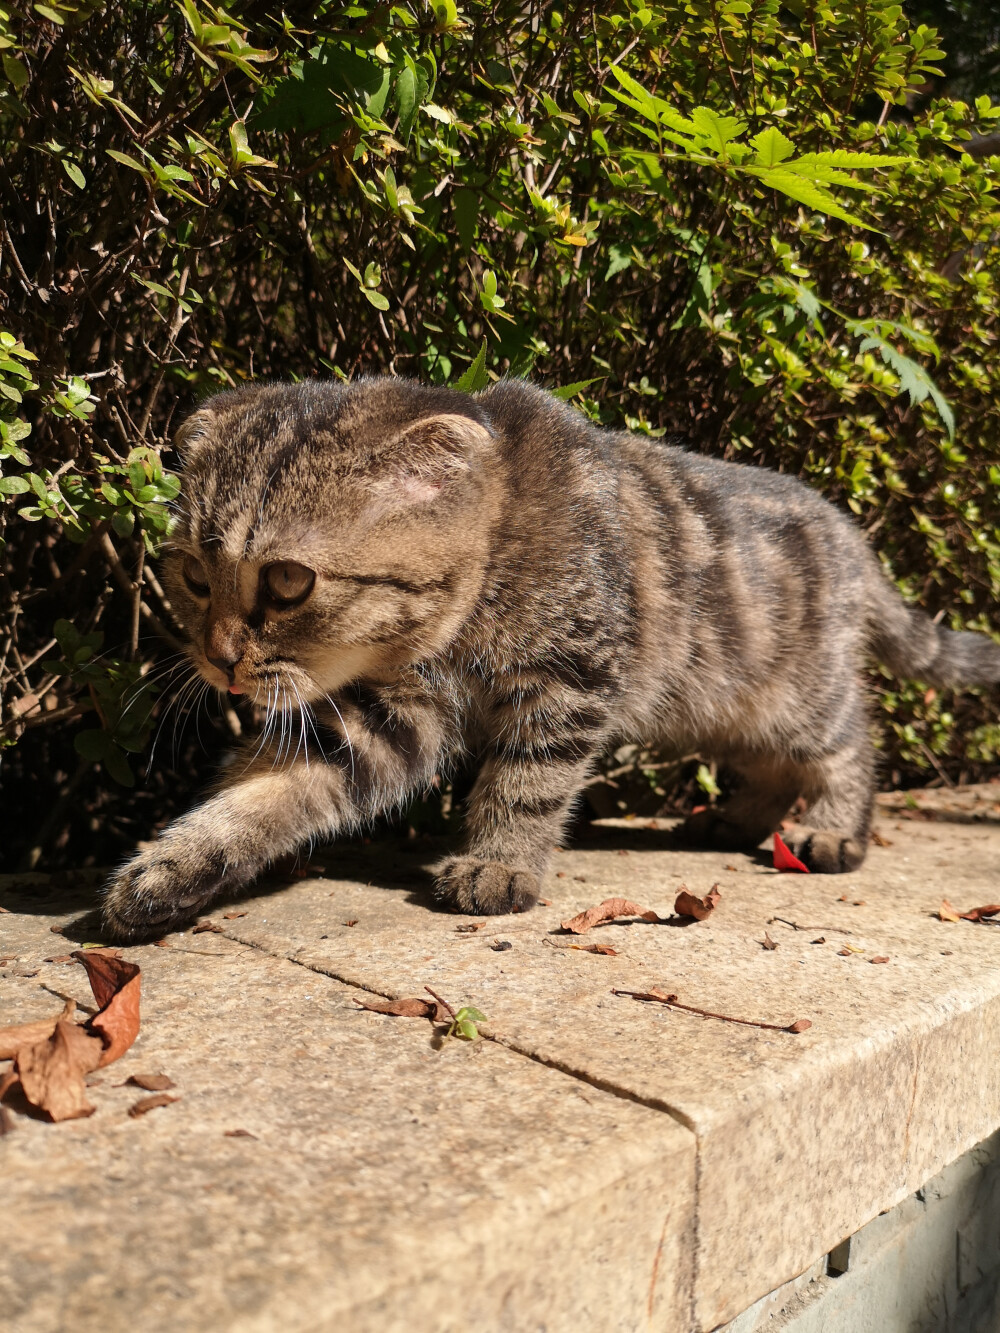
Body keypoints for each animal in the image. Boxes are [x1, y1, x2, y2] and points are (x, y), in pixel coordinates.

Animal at [102, 375, 1000, 938]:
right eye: (192, 575)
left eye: (289, 581)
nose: (218, 657)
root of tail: (850, 531)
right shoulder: (392, 715)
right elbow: (267, 794)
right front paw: (175, 864)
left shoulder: (567, 680)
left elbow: (525, 784)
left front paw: (500, 863)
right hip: (725, 710)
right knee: (769, 766)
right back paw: (733, 816)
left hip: (794, 695)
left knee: (850, 741)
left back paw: (830, 829)